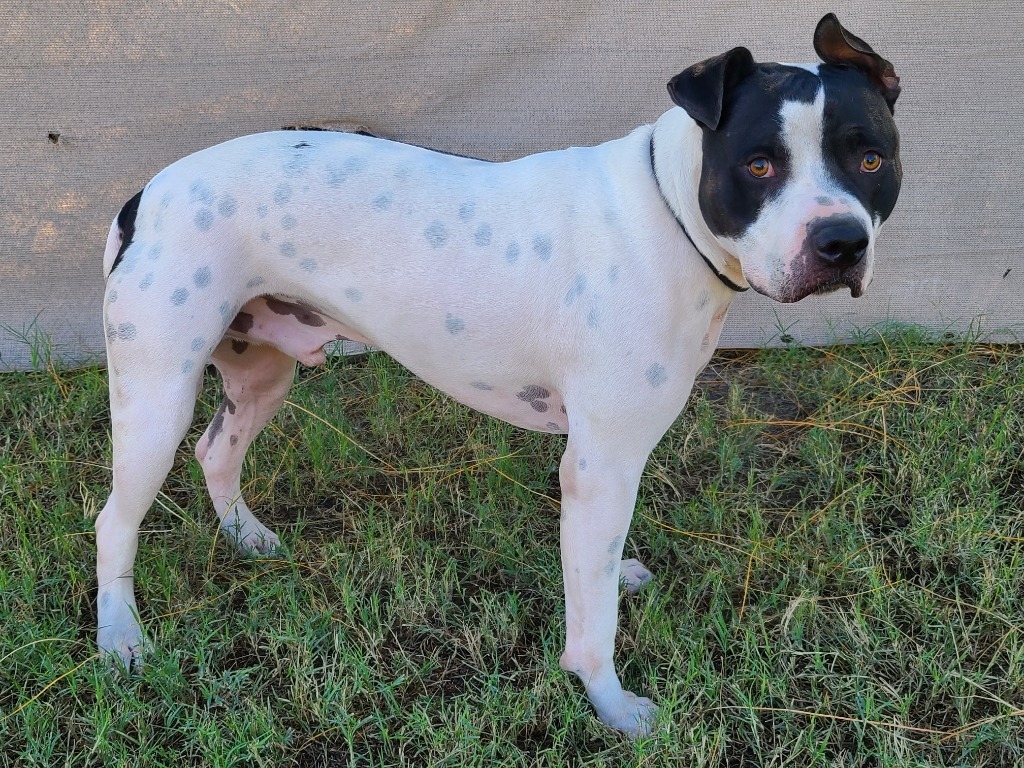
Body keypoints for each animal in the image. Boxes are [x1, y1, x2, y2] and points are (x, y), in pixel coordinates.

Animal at [94, 16, 897, 741]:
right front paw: (613, 706)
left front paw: (613, 581)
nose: (840, 242)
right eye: (759, 166)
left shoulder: (602, 469)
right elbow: (593, 624)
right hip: (156, 400)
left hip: (261, 377)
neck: (671, 214)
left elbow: (594, 569)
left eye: (871, 160)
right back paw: (121, 637)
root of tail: (145, 194)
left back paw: (247, 537)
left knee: (216, 451)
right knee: (115, 519)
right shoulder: (602, 464)